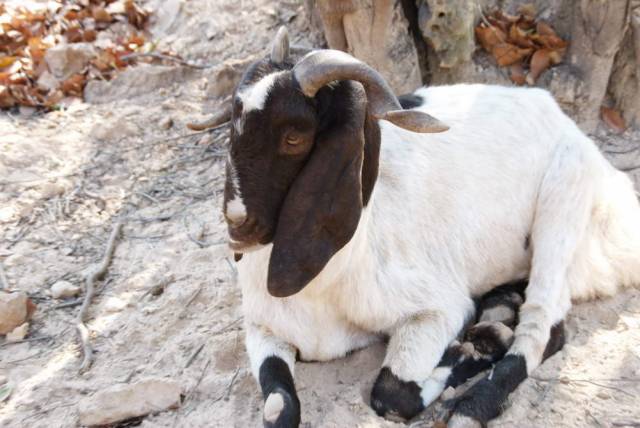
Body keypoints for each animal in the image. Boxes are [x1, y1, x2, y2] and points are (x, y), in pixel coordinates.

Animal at [199, 27, 640, 428]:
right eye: (233, 122)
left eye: (294, 137)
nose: (238, 225)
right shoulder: (263, 327)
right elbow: (278, 408)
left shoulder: (437, 309)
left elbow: (394, 393)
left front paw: (466, 354)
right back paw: (499, 309)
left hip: (564, 199)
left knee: (544, 324)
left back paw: (474, 400)